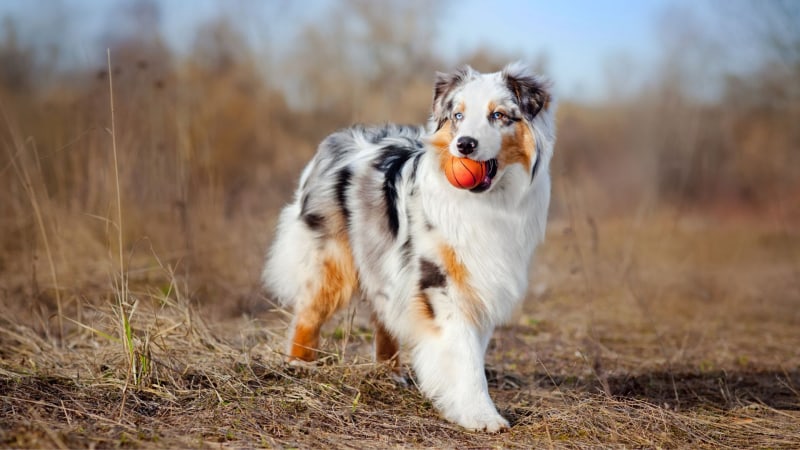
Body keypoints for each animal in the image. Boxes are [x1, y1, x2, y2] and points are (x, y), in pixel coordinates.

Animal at [264, 61, 556, 430]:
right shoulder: (439, 282)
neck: (488, 202)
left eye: (499, 115)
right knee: (309, 312)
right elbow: (464, 355)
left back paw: (389, 374)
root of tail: (337, 140)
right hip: (332, 260)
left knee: (383, 316)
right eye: (458, 115)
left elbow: (472, 350)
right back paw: (299, 365)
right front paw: (481, 415)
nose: (464, 145)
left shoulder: (481, 281)